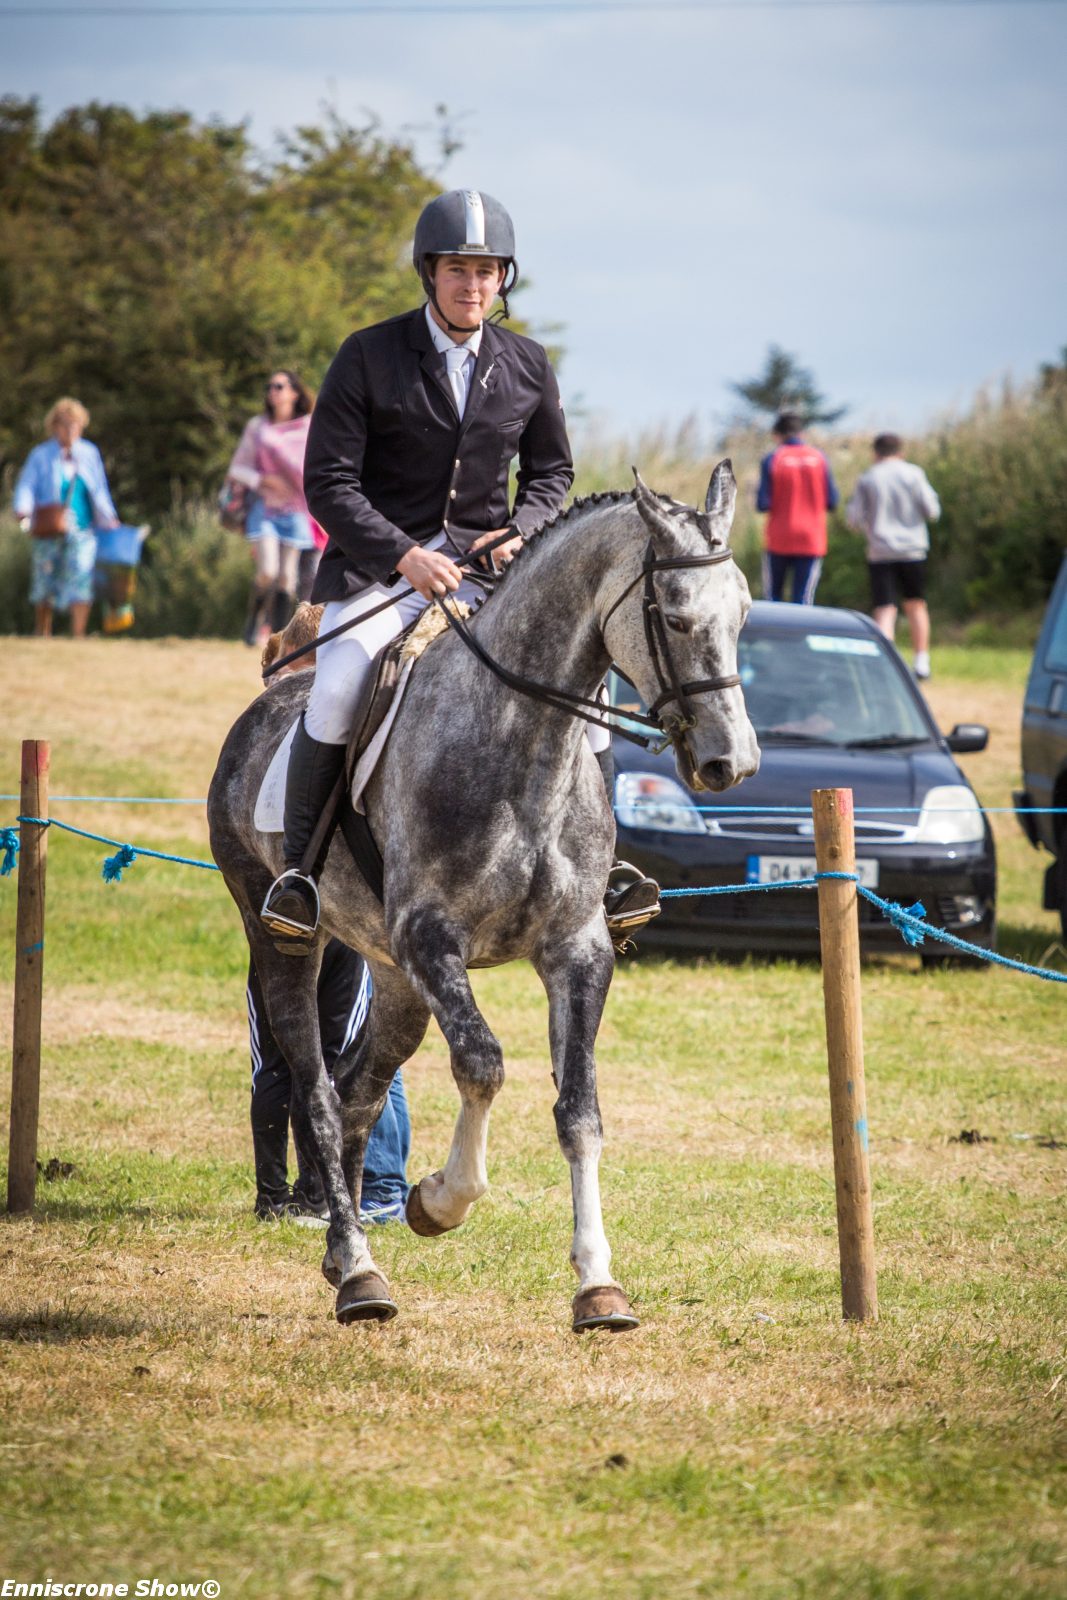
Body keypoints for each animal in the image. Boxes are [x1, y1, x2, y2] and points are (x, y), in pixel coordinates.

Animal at [207, 462, 759, 1332]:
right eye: (673, 616)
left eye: (742, 613)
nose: (729, 763)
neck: (524, 744)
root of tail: (270, 699)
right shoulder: (432, 939)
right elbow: (483, 1063)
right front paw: (440, 1200)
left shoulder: (575, 950)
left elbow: (578, 1109)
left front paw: (598, 1285)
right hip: (286, 938)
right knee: (320, 1093)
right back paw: (359, 1274)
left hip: (392, 977)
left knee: (360, 1091)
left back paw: (343, 1253)